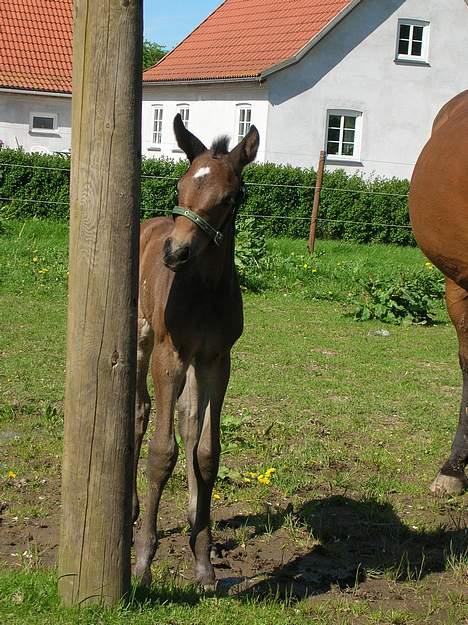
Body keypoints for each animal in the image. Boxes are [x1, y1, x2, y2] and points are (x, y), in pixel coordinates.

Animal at [132, 114, 260, 588]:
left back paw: (191, 516)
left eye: (230, 198)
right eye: (182, 185)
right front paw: (143, 562)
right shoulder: (170, 354)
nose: (175, 252)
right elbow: (160, 452)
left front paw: (203, 560)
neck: (204, 289)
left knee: (188, 421)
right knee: (140, 412)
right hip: (142, 340)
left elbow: (206, 452)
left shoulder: (215, 360)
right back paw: (133, 511)